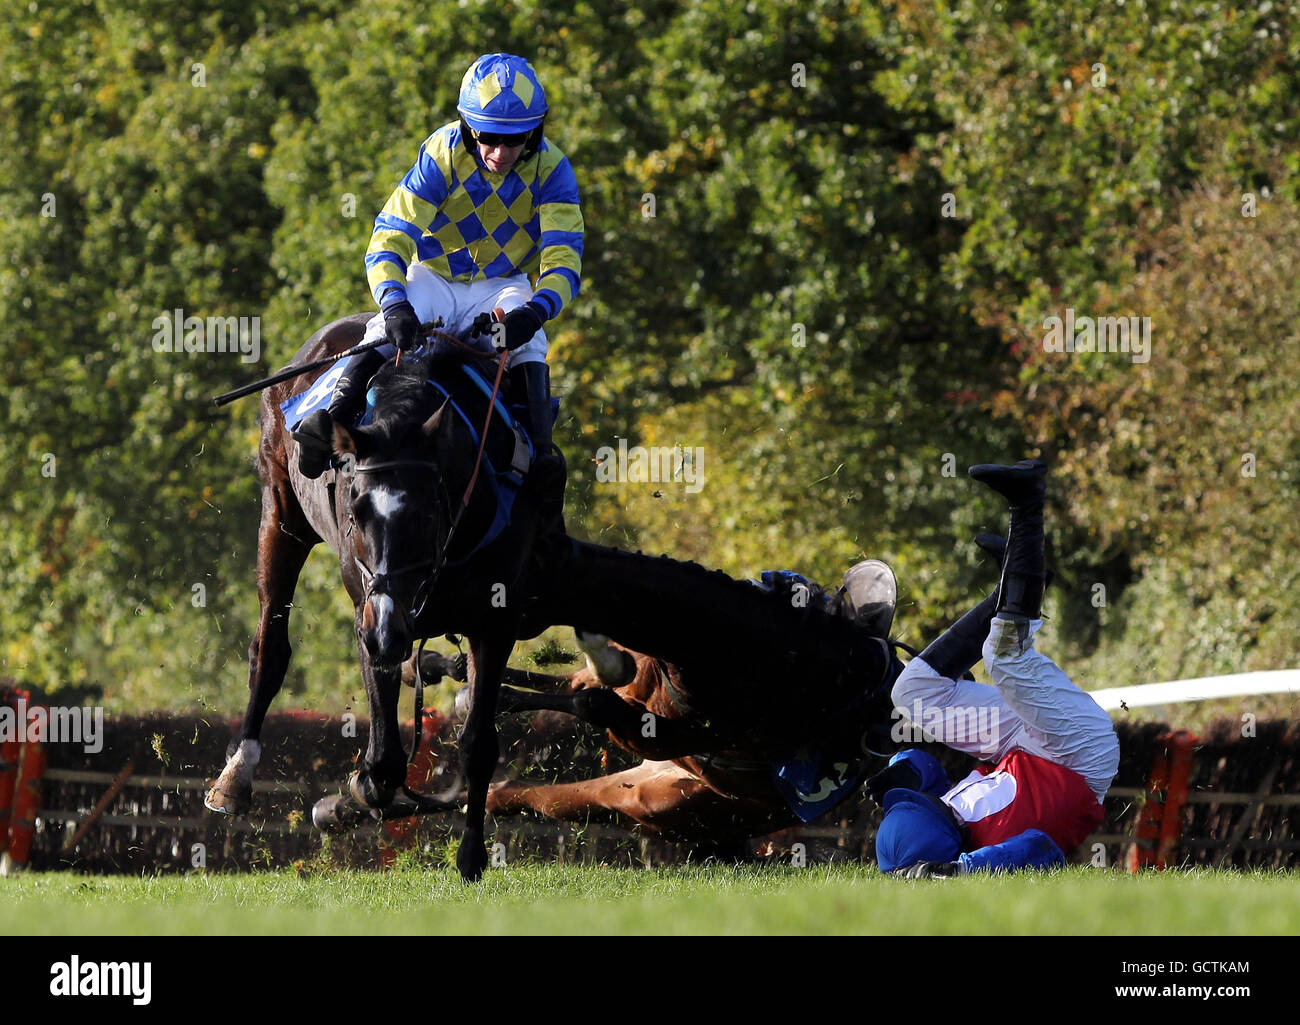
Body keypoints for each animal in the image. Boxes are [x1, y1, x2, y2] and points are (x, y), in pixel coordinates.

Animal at [204, 314, 553, 879]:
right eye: (355, 509)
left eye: (427, 513)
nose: (388, 630)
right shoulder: (367, 609)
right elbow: (385, 761)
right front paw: (355, 791)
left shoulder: (495, 617)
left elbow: (479, 742)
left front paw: (471, 854)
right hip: (280, 514)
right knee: (269, 649)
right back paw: (234, 778)